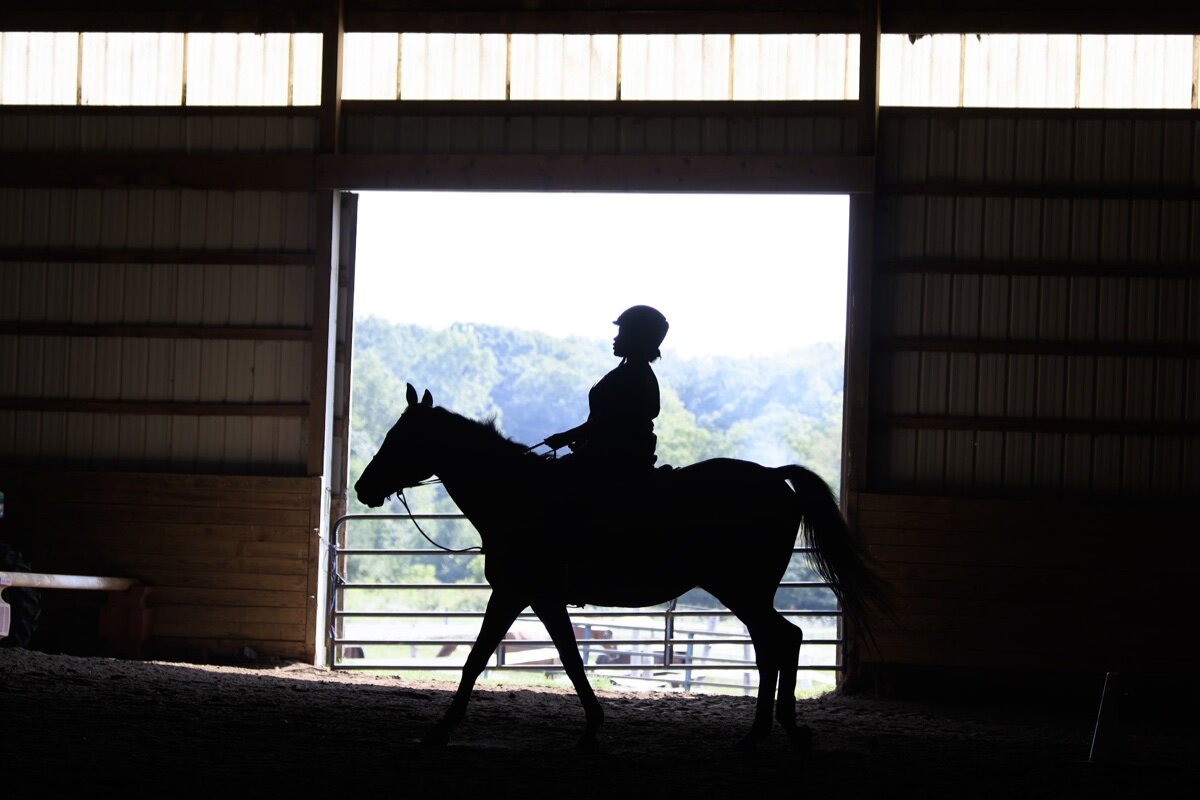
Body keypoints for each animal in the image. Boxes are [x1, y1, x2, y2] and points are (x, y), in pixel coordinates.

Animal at [350, 383, 888, 748]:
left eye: (400, 438)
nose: (363, 487)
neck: (516, 495)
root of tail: (775, 477)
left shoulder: (522, 592)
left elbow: (497, 658)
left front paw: (443, 727)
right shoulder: (530, 596)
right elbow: (539, 657)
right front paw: (591, 721)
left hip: (740, 589)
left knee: (779, 641)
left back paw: (767, 732)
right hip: (746, 592)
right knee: (776, 642)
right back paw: (770, 730)